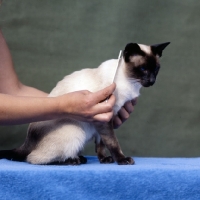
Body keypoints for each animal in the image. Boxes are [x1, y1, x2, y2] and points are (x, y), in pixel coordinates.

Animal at [0, 41, 170, 165]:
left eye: (156, 69)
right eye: (143, 69)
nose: (152, 81)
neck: (130, 82)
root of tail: (27, 142)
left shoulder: (105, 118)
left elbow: (101, 143)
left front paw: (104, 160)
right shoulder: (103, 117)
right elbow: (112, 142)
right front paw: (122, 160)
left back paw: (79, 158)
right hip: (77, 132)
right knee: (34, 159)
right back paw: (72, 161)